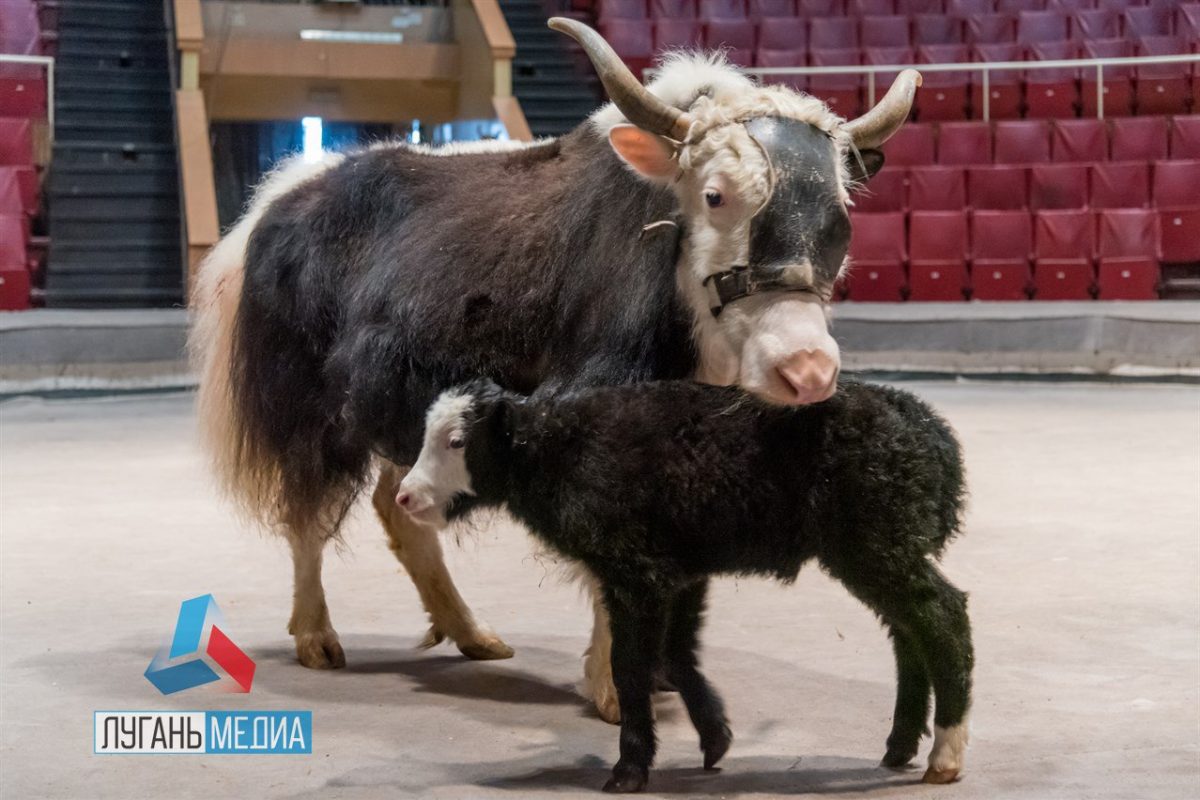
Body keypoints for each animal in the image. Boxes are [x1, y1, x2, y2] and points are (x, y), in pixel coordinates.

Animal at [398, 381, 969, 796]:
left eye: (457, 442)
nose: (406, 497)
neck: (562, 450)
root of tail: (933, 437)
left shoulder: (635, 570)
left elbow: (631, 667)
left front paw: (629, 769)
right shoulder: (680, 571)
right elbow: (676, 654)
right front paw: (715, 739)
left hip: (878, 541)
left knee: (944, 619)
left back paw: (945, 753)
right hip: (879, 546)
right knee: (908, 633)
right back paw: (899, 746)